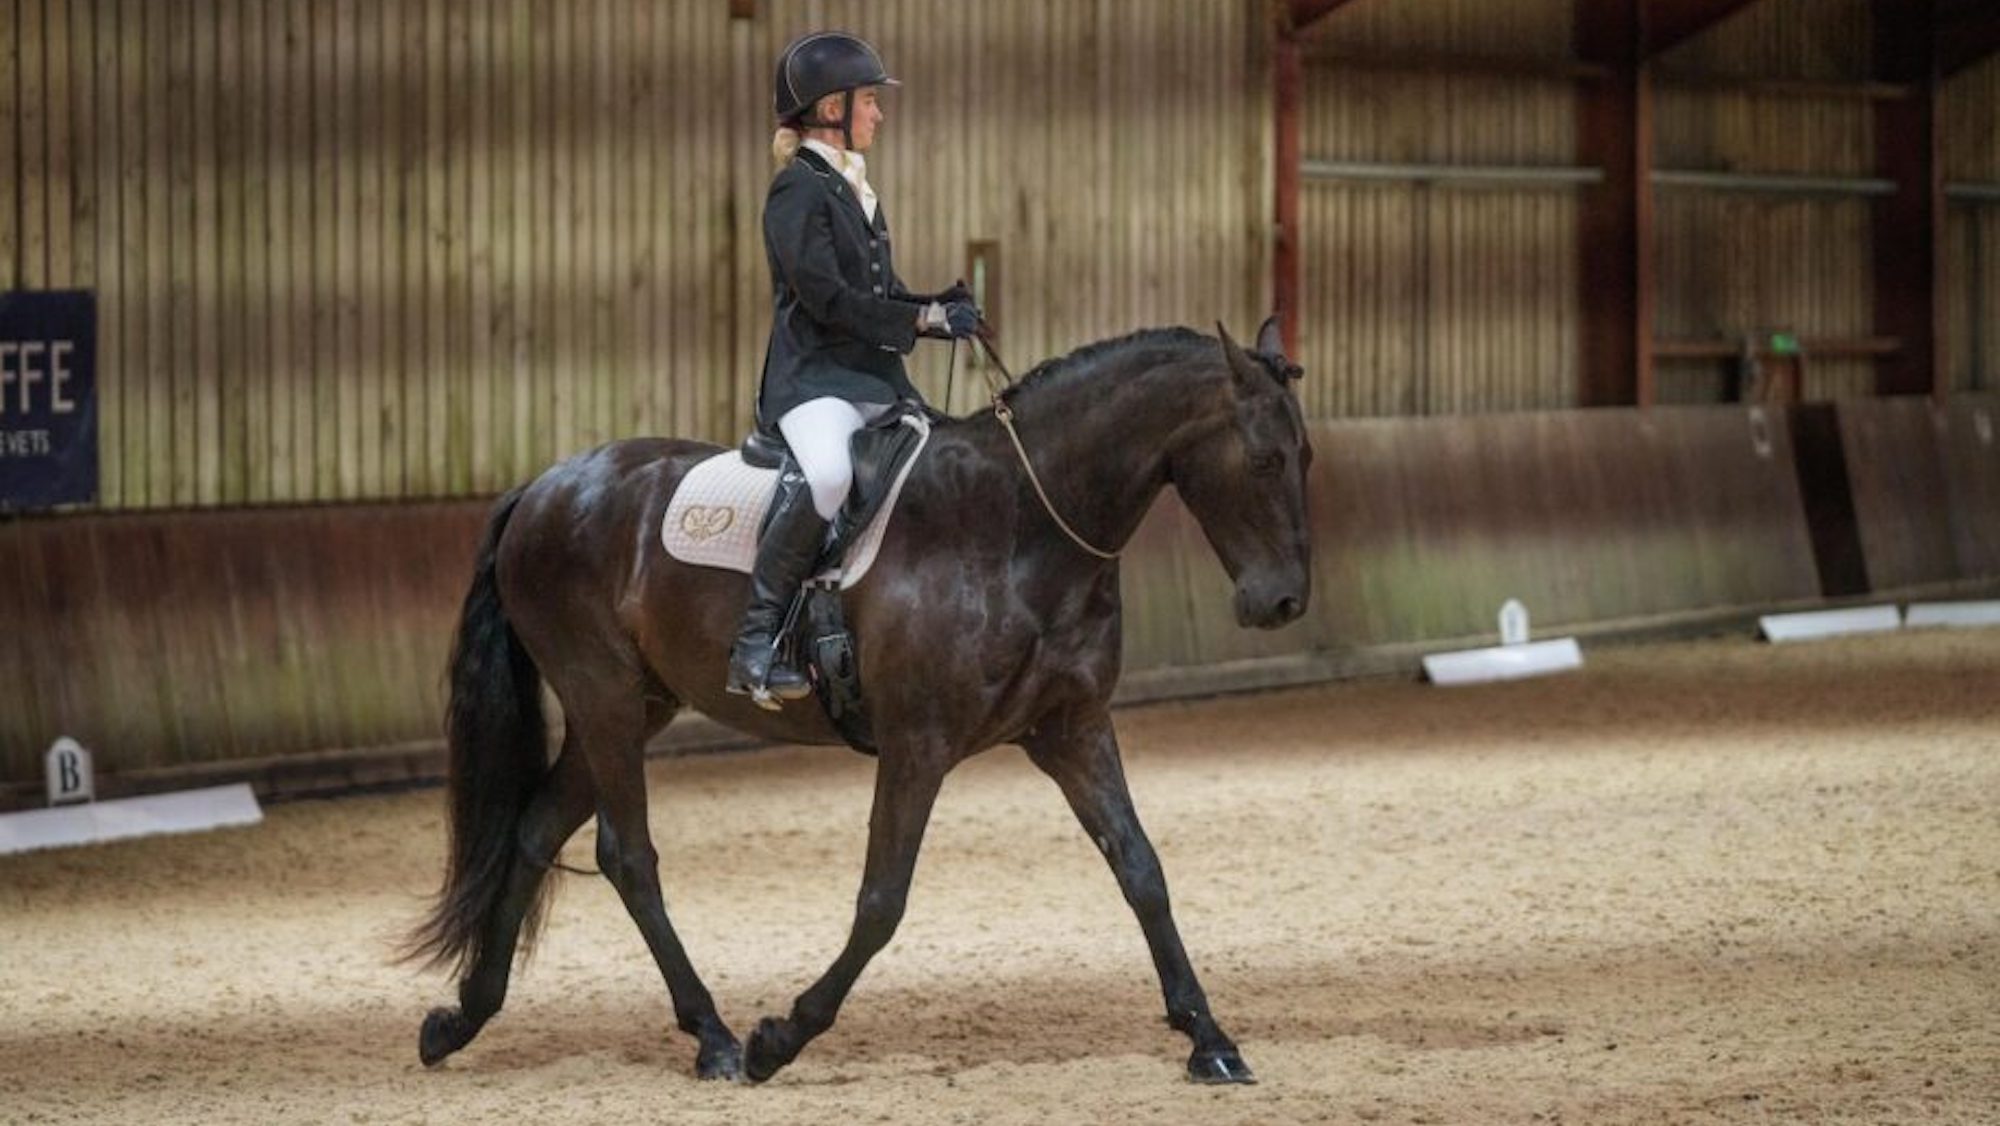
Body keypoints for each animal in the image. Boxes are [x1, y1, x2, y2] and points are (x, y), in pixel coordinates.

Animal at [406, 316, 1314, 1085]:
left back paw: (462, 1019)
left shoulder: (1072, 729)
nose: (1283, 604)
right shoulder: (919, 744)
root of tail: (545, 486)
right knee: (628, 857)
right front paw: (781, 1037)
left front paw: (1210, 1039)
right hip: (605, 701)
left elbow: (1141, 871)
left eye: (1306, 457)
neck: (1021, 523)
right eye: (1264, 460)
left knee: (533, 830)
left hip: (634, 704)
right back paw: (716, 1038)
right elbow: (882, 901)